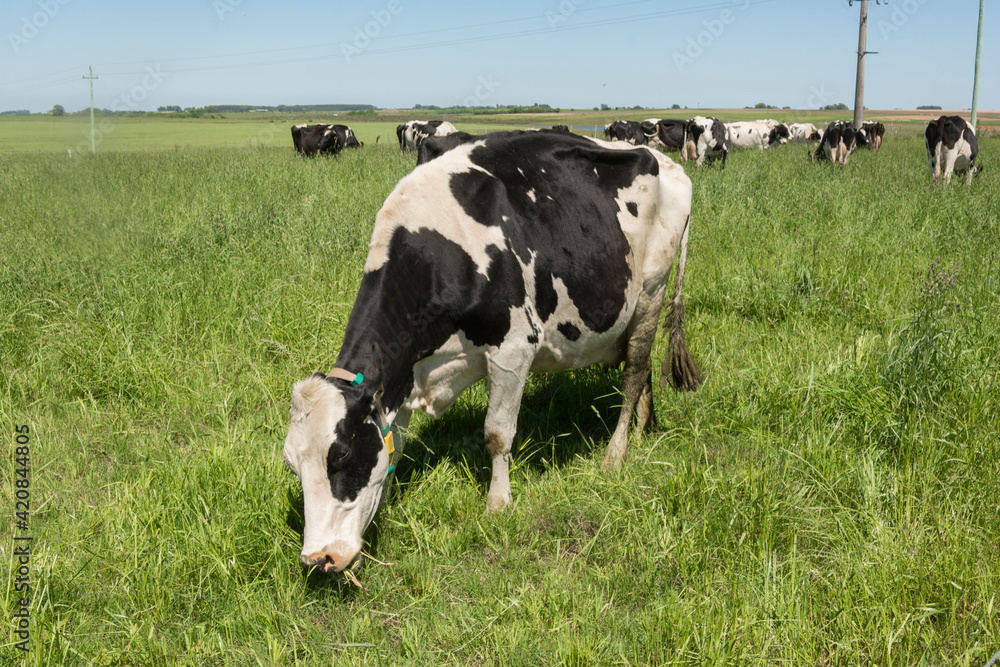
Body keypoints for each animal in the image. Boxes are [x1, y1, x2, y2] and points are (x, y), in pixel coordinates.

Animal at [282, 130, 702, 576]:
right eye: (292, 464)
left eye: (341, 454)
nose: (319, 559)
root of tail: (663, 159)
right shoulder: (405, 372)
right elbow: (397, 440)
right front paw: (390, 495)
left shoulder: (513, 347)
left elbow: (497, 434)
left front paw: (498, 504)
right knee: (643, 371)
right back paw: (642, 430)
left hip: (651, 292)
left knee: (636, 371)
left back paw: (616, 453)